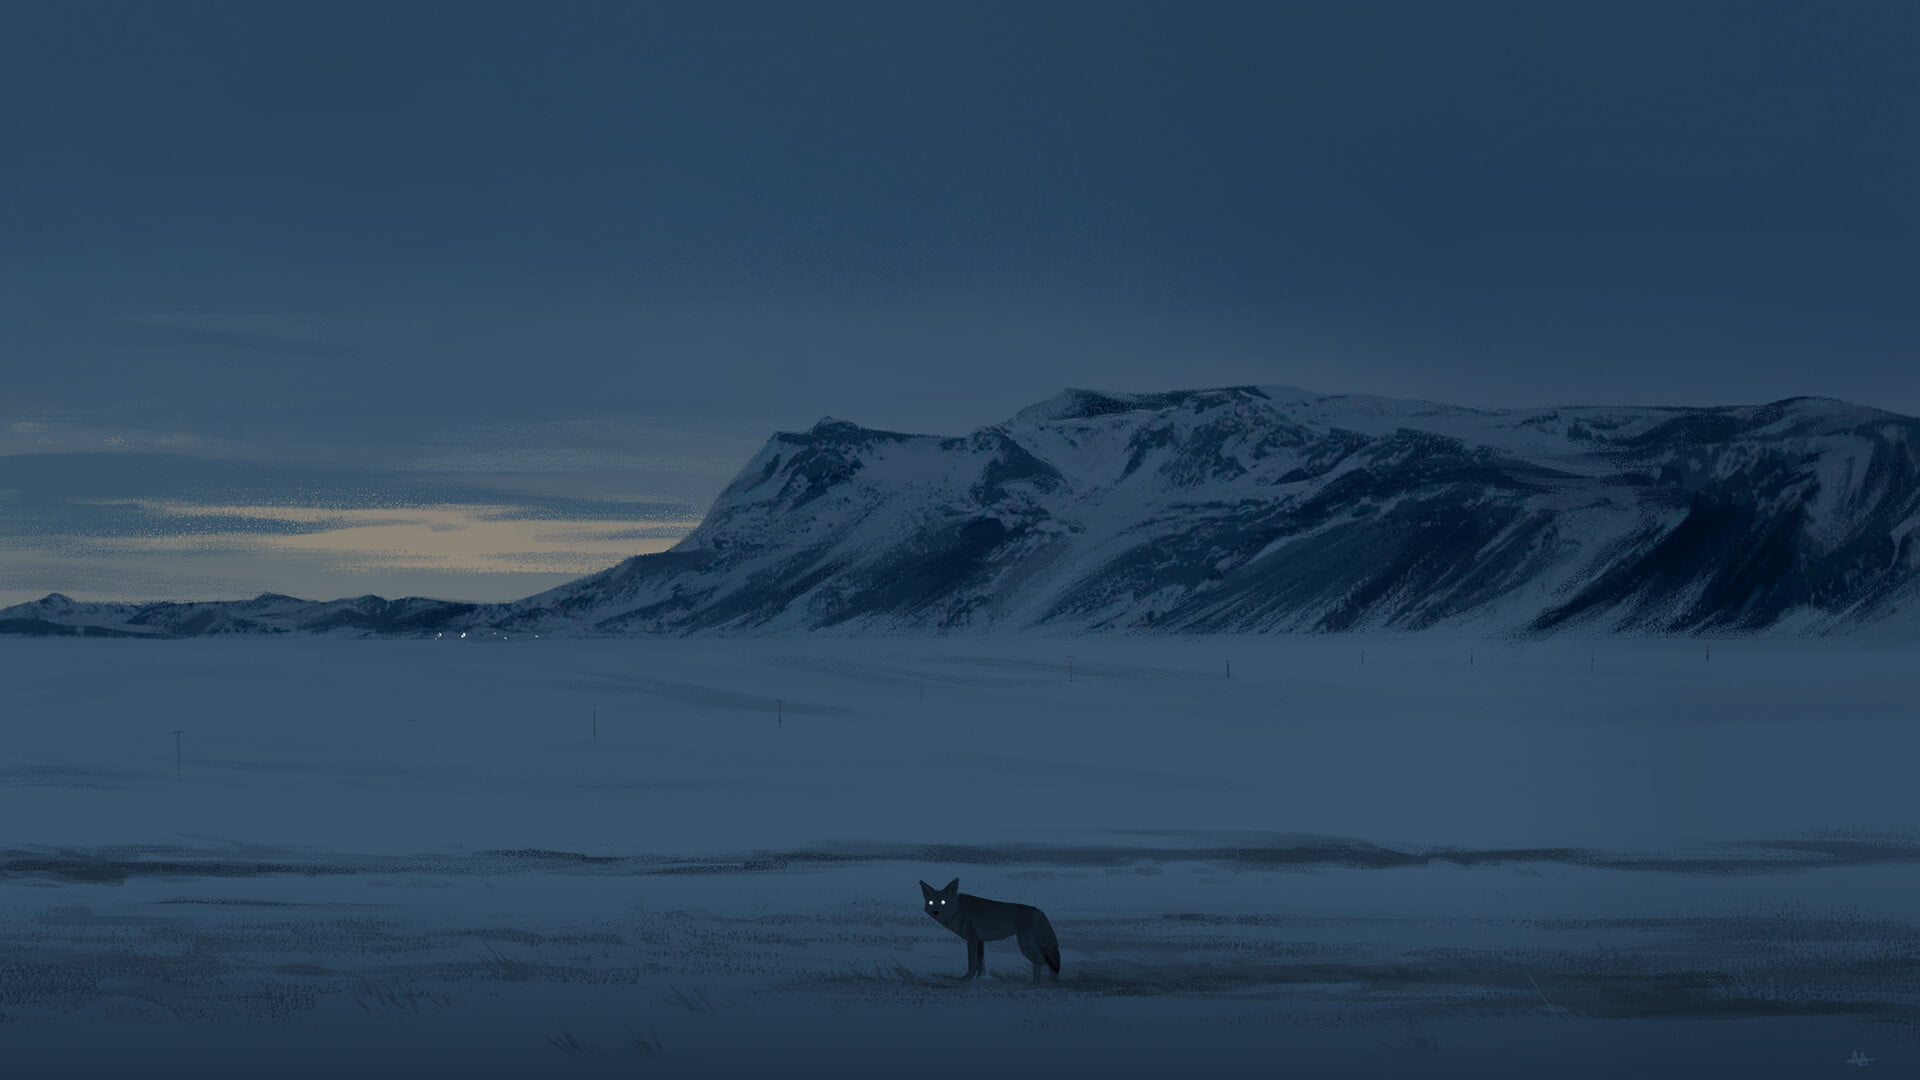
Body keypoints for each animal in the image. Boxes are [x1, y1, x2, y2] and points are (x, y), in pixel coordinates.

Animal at [920, 878, 1060, 982]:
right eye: (931, 903)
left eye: (943, 902)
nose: (936, 912)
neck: (958, 910)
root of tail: (1038, 911)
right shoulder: (979, 941)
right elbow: (980, 964)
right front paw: (979, 979)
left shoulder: (971, 940)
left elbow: (972, 963)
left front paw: (965, 979)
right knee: (1048, 964)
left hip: (1026, 946)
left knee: (1042, 962)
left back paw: (1036, 983)